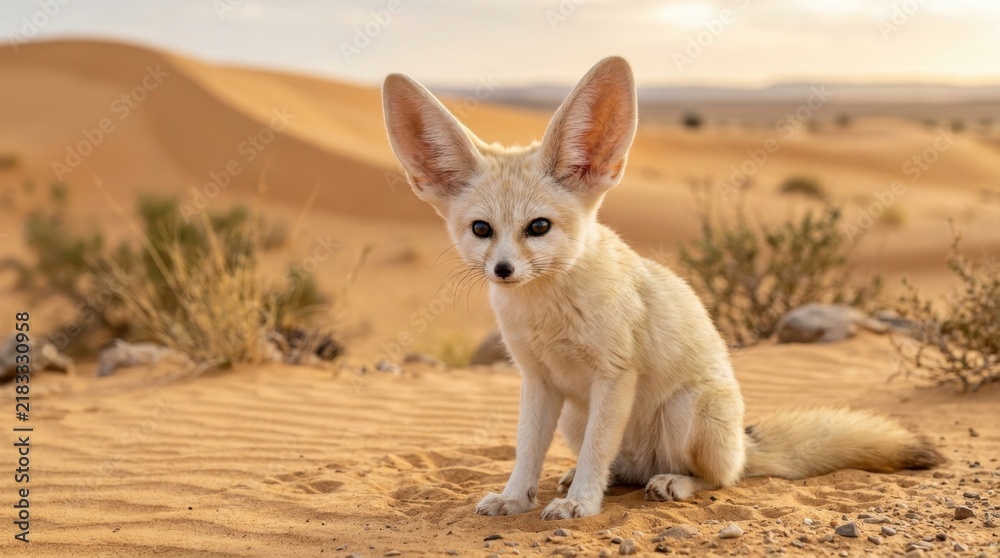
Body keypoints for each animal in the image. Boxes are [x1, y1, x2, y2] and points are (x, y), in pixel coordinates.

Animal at [381, 56, 944, 520]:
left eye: (537, 227)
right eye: (482, 229)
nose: (502, 270)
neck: (548, 313)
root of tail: (743, 443)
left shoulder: (614, 375)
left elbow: (597, 452)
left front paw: (580, 505)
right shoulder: (538, 380)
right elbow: (527, 451)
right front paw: (516, 498)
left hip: (685, 410)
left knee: (720, 478)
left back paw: (671, 482)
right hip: (575, 416)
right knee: (623, 468)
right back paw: (594, 477)